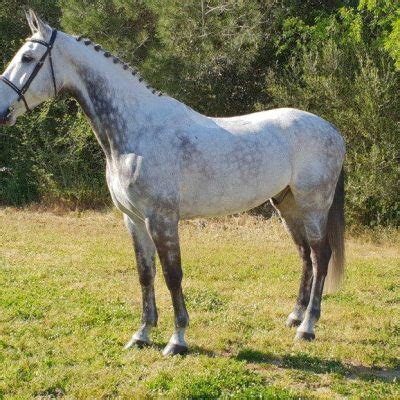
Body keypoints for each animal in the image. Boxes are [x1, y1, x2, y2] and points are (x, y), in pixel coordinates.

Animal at [0, 10, 344, 356]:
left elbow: (172, 274)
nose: (2, 111)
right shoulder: (133, 219)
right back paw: (295, 316)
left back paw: (307, 328)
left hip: (313, 206)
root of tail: (332, 130)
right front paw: (142, 334)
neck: (138, 130)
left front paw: (177, 339)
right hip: (287, 205)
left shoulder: (162, 219)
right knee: (305, 256)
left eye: (28, 58)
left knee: (320, 256)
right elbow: (145, 274)